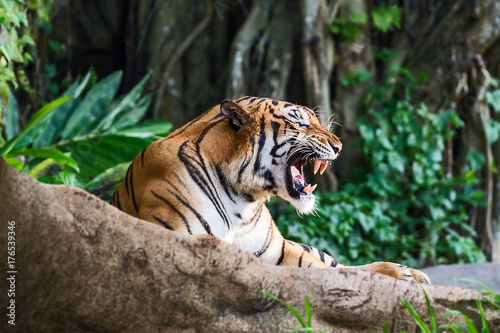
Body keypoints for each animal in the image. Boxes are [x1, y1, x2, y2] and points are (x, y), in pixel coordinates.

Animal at [110, 95, 430, 282]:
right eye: (300, 122)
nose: (339, 146)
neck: (241, 199)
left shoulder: (278, 252)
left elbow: (327, 272)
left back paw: (406, 272)